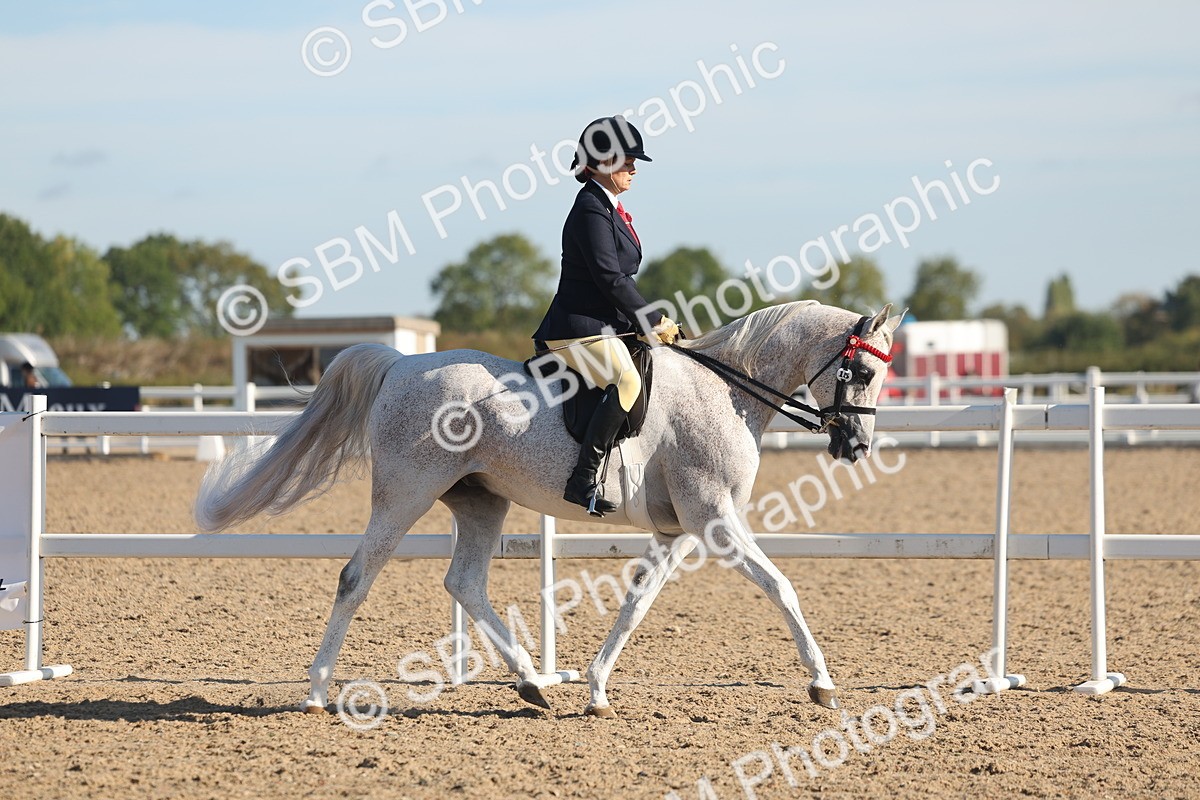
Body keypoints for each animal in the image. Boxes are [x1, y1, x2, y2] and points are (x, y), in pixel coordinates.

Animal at [194, 300, 901, 717]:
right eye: (863, 375)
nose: (857, 446)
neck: (726, 390)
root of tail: (400, 364)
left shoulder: (677, 530)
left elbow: (636, 604)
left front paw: (596, 690)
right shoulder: (715, 520)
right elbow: (782, 587)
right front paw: (822, 683)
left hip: (480, 503)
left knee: (464, 582)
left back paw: (532, 682)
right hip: (404, 494)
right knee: (355, 577)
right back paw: (317, 693)